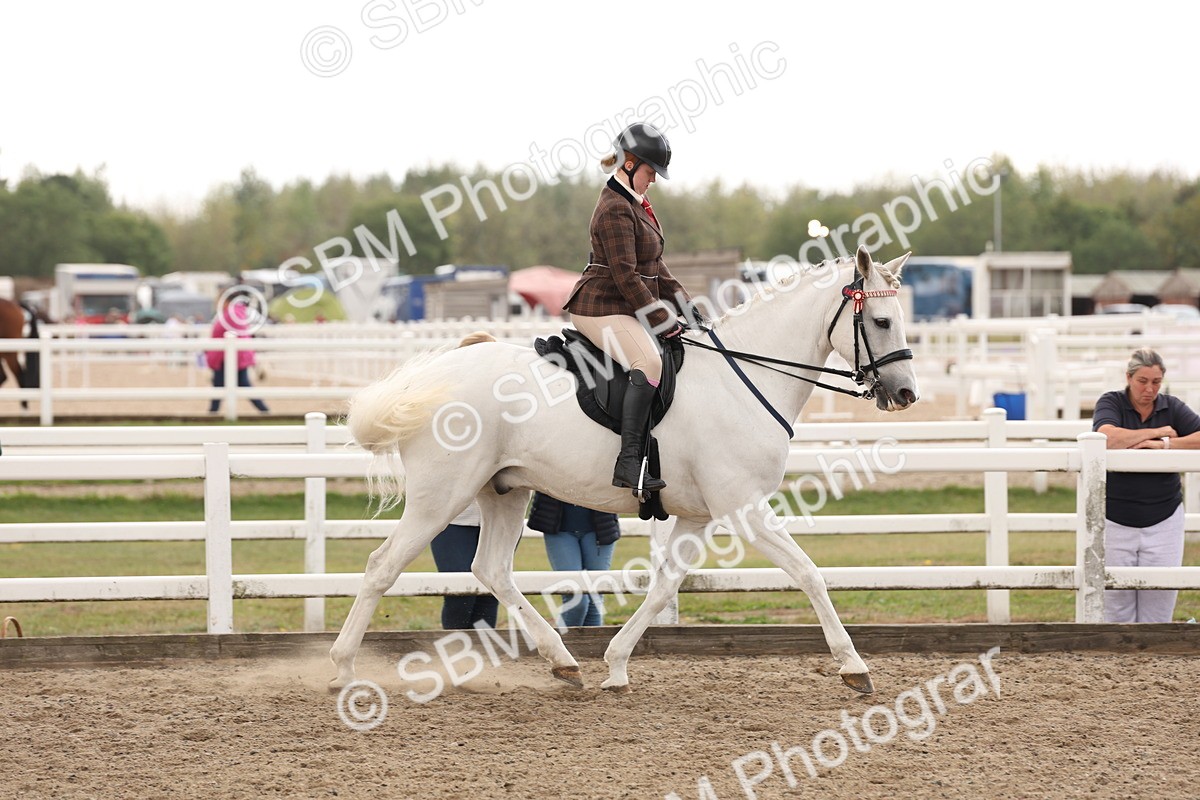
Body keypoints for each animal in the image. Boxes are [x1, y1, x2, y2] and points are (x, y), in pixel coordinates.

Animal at [330, 245, 919, 696]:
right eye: (881, 321)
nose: (906, 394)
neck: (744, 378)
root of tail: (434, 376)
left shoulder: (698, 516)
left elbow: (663, 588)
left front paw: (614, 665)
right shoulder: (743, 507)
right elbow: (809, 573)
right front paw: (854, 668)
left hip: (503, 491)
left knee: (491, 569)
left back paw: (563, 662)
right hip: (441, 495)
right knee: (382, 567)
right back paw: (343, 670)